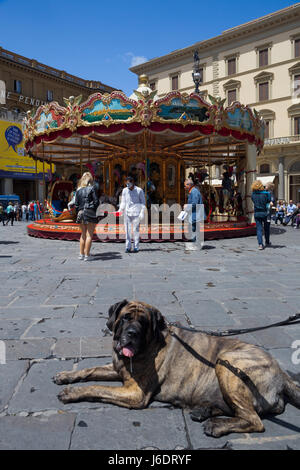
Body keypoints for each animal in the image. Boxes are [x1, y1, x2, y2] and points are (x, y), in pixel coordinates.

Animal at [54, 302, 300, 436]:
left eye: (143, 322)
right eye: (125, 318)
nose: (131, 334)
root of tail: (282, 373)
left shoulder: (135, 393)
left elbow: (97, 388)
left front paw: (72, 392)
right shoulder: (117, 368)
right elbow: (91, 370)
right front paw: (66, 375)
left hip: (227, 362)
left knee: (254, 421)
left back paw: (217, 425)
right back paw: (204, 411)